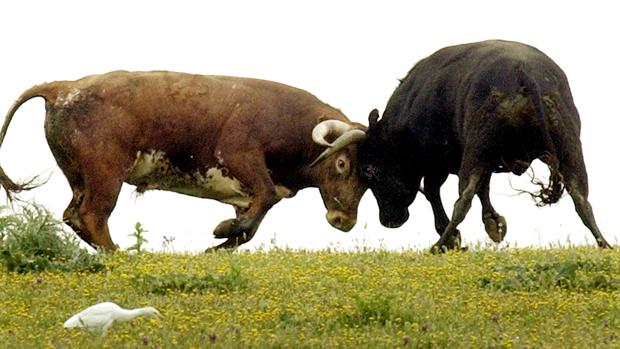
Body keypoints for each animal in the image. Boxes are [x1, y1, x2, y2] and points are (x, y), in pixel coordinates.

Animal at [0, 70, 368, 250]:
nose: (344, 221)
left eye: (368, 179)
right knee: (92, 215)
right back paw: (119, 257)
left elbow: (252, 223)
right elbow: (266, 199)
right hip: (106, 174)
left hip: (80, 178)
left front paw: (217, 246)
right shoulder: (240, 156)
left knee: (74, 215)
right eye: (342, 164)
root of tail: (62, 87)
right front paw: (221, 230)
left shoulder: (244, 192)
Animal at [358, 39, 612, 249]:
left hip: (477, 150)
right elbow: (481, 188)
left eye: (370, 170)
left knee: (463, 198)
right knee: (581, 198)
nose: (389, 220)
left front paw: (460, 234)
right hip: (569, 148)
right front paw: (494, 223)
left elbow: (435, 190)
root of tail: (523, 72)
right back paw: (604, 244)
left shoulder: (439, 162)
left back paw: (439, 245)